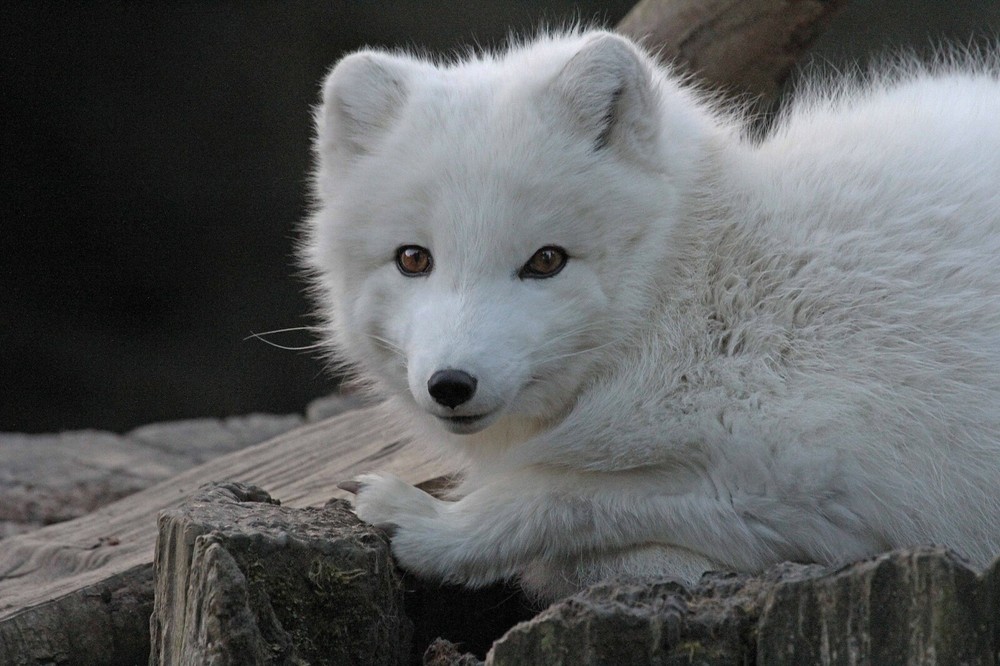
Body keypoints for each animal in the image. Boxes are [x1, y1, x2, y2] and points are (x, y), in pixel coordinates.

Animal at [302, 29, 1000, 601]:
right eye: (413, 259)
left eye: (546, 261)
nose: (451, 384)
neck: (694, 292)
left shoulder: (812, 479)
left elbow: (559, 495)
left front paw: (433, 527)